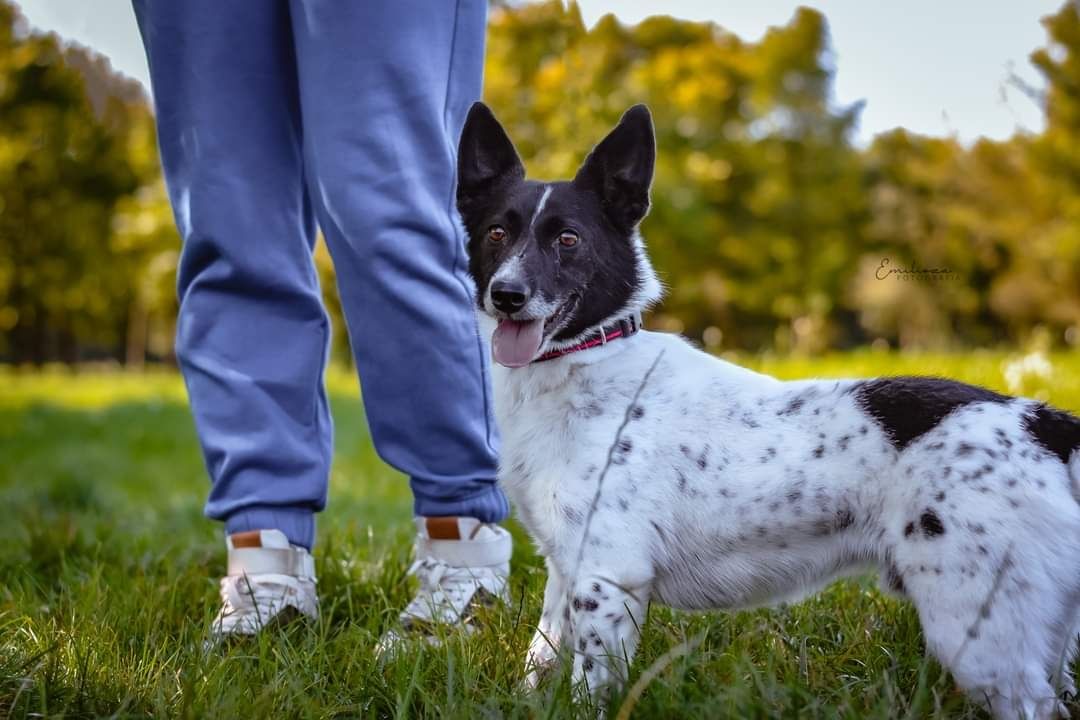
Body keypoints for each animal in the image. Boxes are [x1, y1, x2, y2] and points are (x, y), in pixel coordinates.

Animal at [453, 102, 1080, 720]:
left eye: (568, 239)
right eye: (496, 232)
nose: (506, 295)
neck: (587, 361)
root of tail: (1043, 423)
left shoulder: (607, 578)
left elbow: (587, 686)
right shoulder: (565, 572)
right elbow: (542, 656)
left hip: (979, 638)